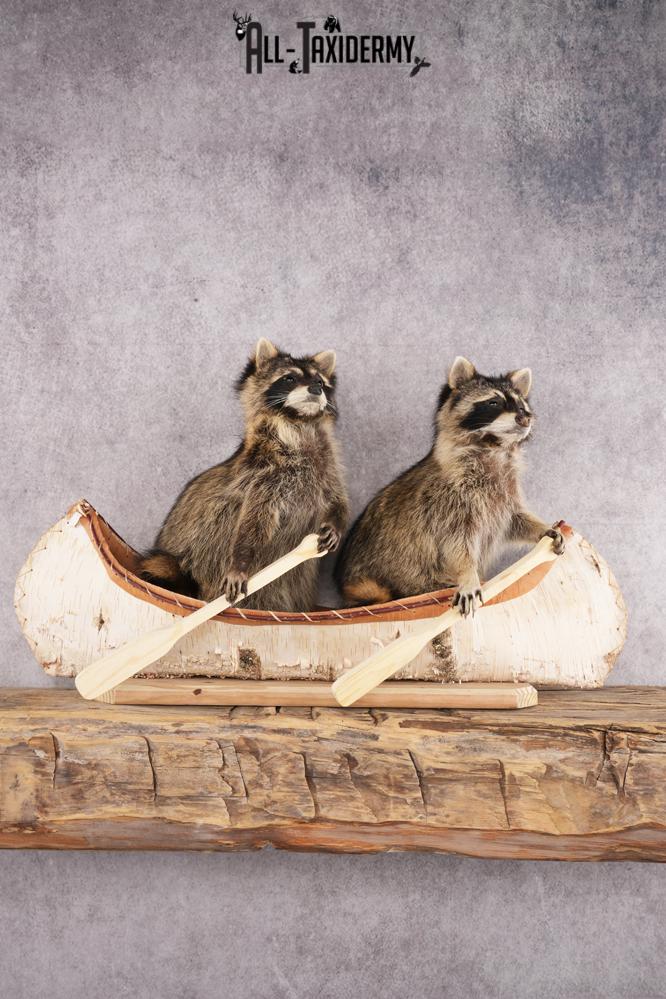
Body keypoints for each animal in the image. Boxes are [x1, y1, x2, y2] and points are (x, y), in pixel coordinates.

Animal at [139, 338, 349, 611]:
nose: (315, 388)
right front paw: (240, 561)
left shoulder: (328, 465)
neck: (299, 424)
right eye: (289, 378)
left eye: (321, 382)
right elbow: (253, 519)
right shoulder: (264, 475)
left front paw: (336, 523)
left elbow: (338, 499)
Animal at [336, 356, 564, 615]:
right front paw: (467, 574)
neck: (493, 447)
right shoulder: (447, 499)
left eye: (522, 407)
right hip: (375, 582)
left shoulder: (505, 494)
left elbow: (514, 520)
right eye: (494, 402)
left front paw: (542, 528)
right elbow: (455, 544)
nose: (525, 418)